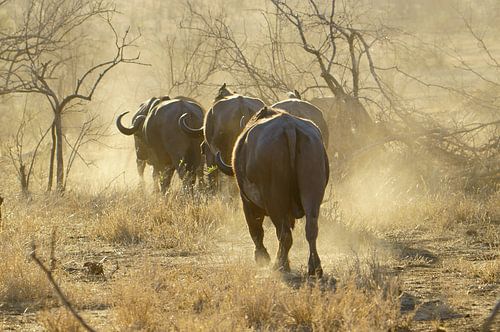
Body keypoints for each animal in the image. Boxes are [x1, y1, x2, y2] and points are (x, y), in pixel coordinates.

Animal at [215, 107, 328, 278]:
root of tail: (289, 127)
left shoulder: (246, 201)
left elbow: (255, 229)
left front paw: (261, 257)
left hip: (274, 199)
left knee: (283, 233)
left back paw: (279, 265)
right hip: (312, 190)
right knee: (311, 229)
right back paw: (315, 268)